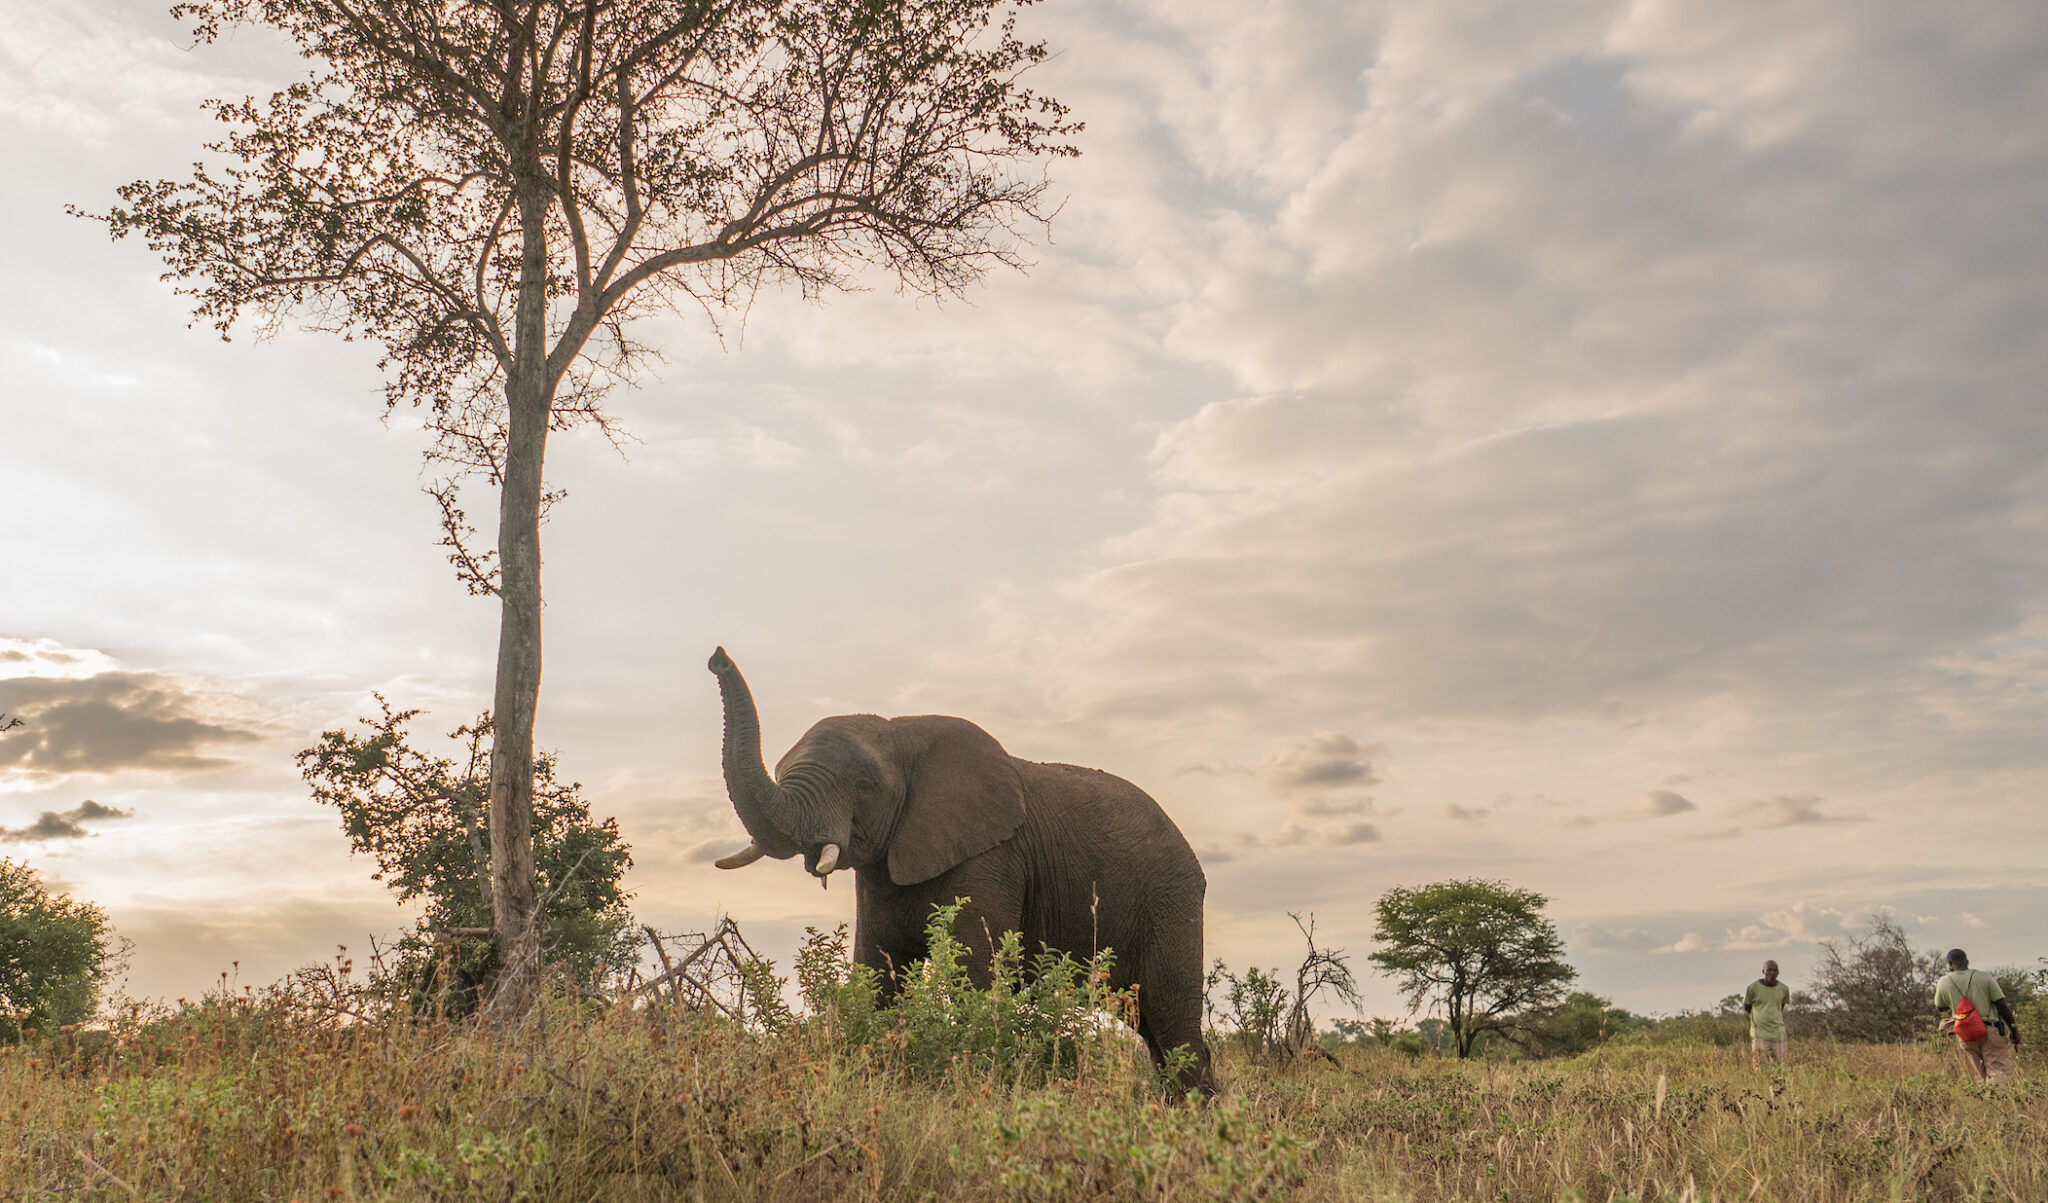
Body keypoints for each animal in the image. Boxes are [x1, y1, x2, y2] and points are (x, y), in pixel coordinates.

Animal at [706, 647, 1214, 1094]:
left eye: (865, 786)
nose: (715, 657)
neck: (902, 733)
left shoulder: (992, 858)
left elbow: (978, 973)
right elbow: (878, 972)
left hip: (1171, 899)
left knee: (1171, 1018)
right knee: (1151, 1027)